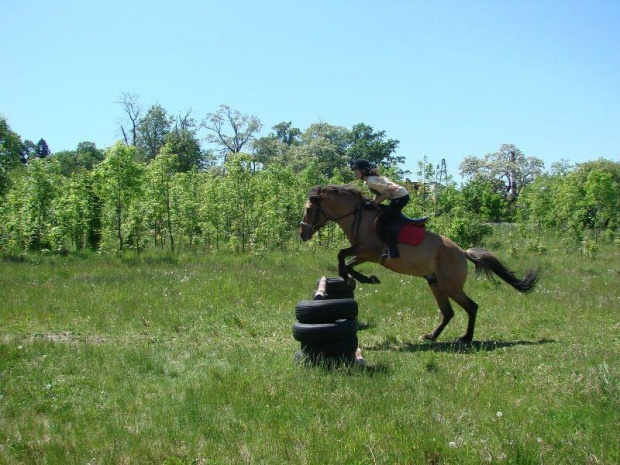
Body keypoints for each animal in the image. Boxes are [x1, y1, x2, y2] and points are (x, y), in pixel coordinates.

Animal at [300, 184, 536, 340]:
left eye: (309, 209)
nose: (303, 234)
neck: (359, 217)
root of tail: (462, 252)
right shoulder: (363, 253)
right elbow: (345, 261)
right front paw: (359, 278)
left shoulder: (369, 251)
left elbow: (342, 257)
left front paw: (359, 279)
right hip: (434, 282)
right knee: (448, 312)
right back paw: (431, 336)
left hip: (450, 285)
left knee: (472, 306)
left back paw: (465, 338)